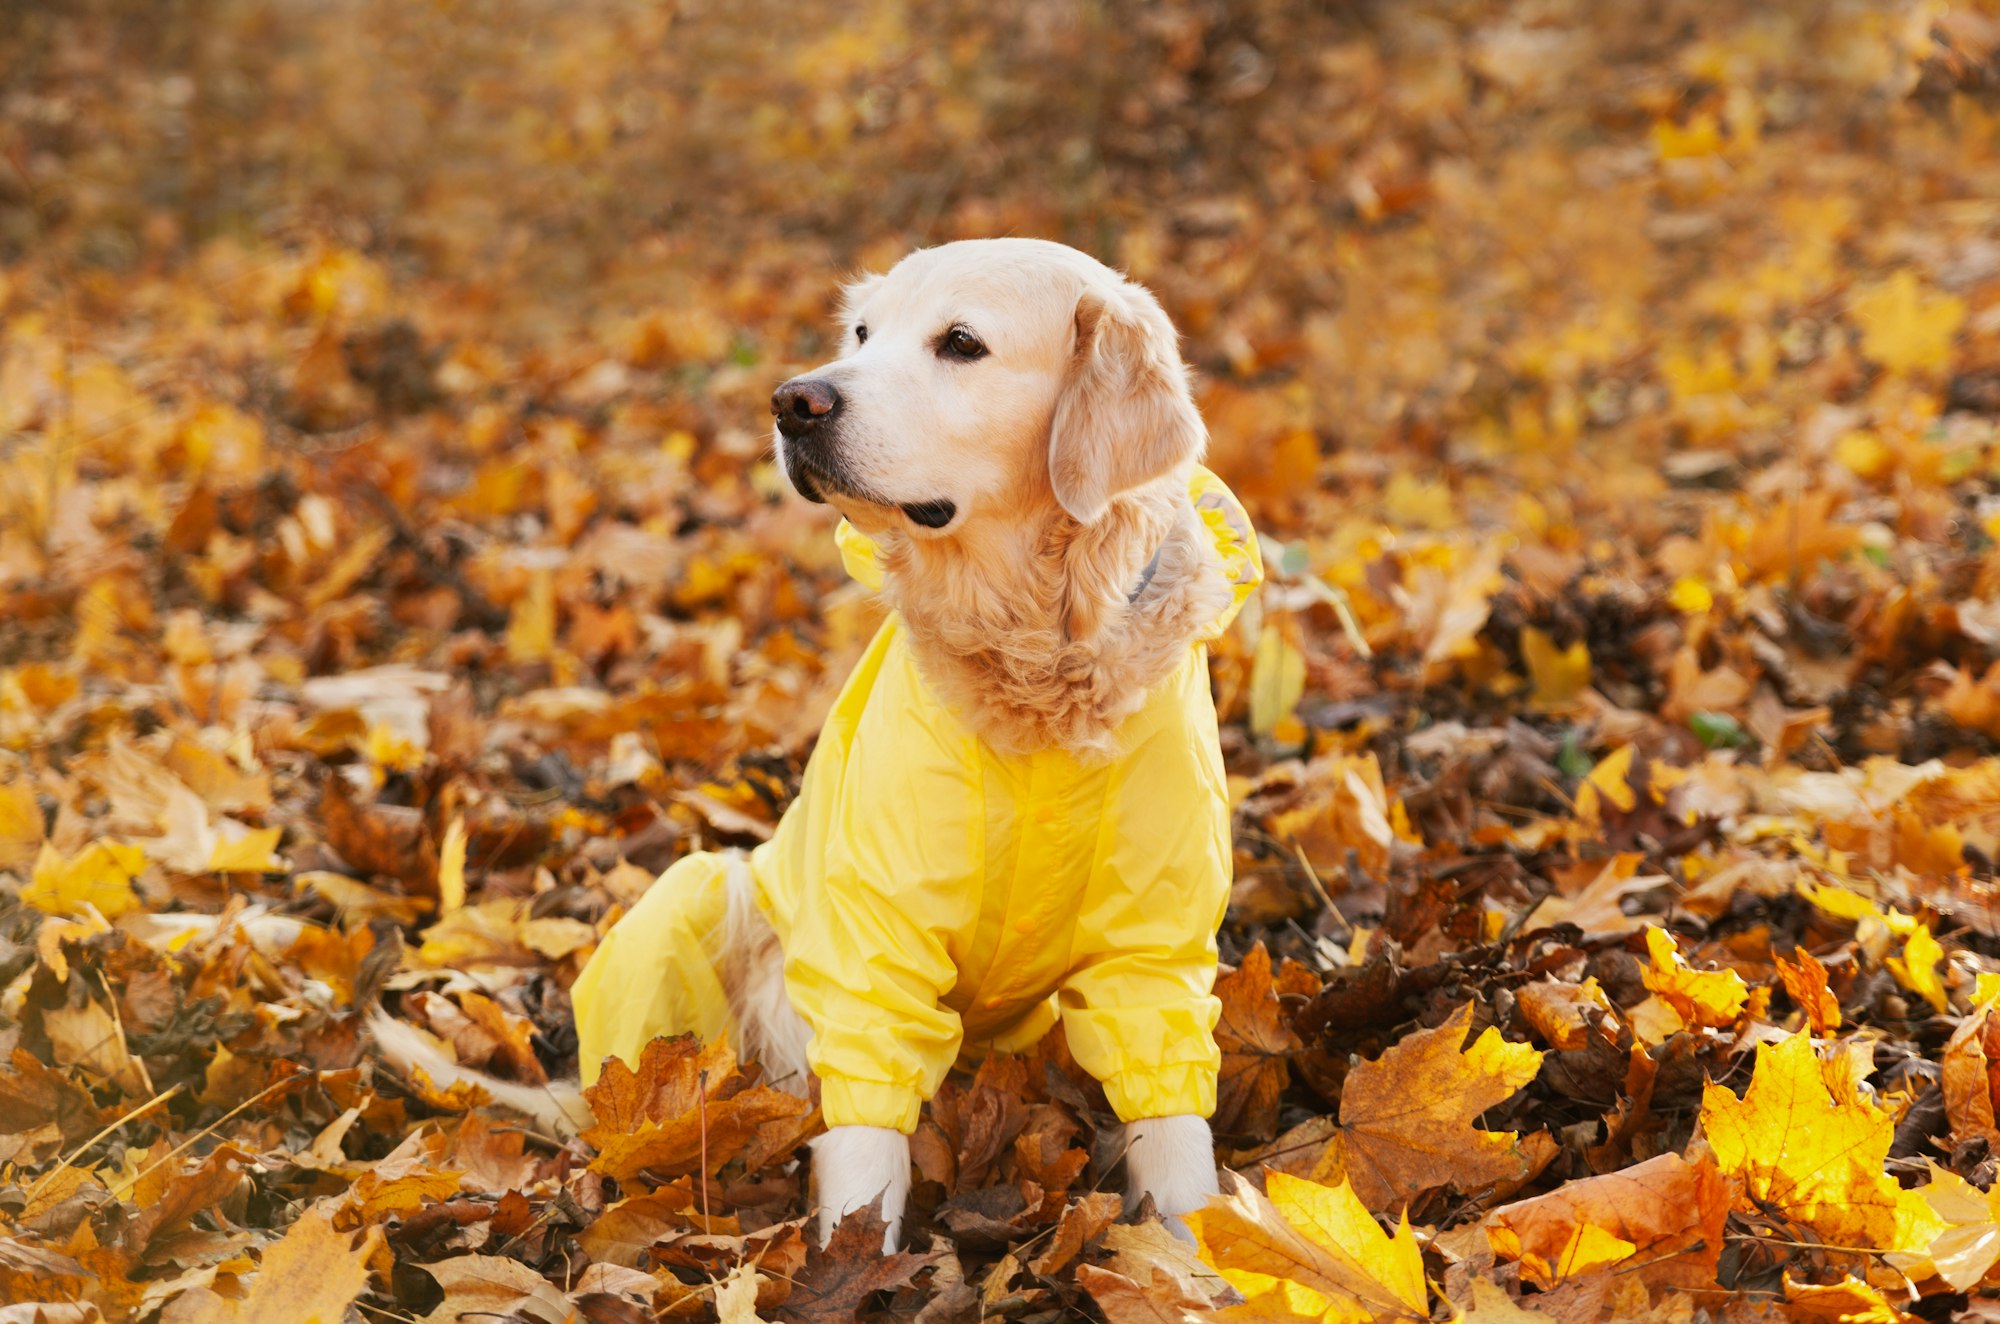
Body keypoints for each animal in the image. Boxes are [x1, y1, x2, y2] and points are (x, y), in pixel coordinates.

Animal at [378, 241, 1264, 1256]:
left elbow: (1172, 1122)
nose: (793, 401)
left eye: (962, 343)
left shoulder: (1155, 945)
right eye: (863, 334)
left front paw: (1206, 1256)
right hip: (711, 886)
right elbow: (866, 1141)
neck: (1035, 660)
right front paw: (848, 1263)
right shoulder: (871, 935)